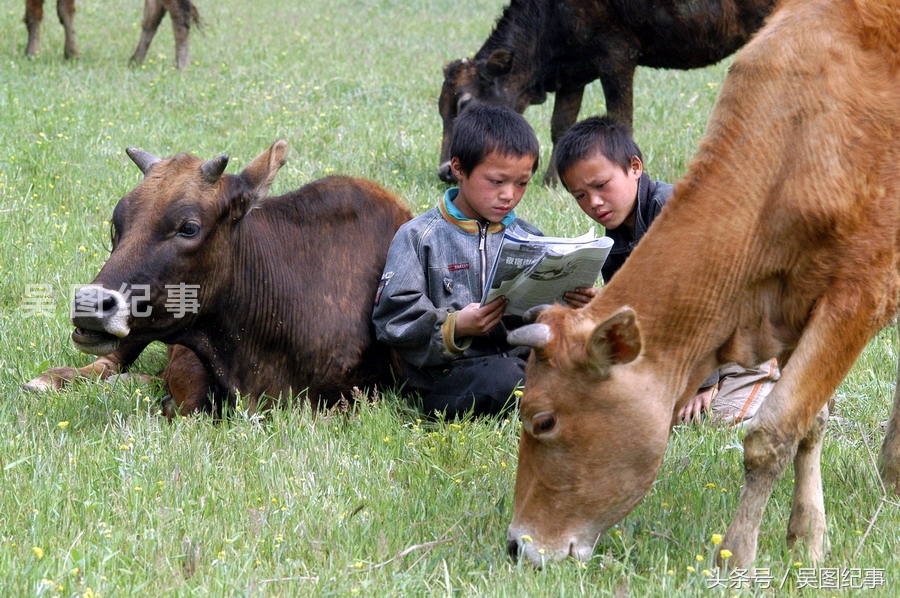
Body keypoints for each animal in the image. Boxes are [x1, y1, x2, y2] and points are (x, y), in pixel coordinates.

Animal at [23, 0, 200, 69]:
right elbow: (64, 11)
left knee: (178, 13)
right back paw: (135, 60)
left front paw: (32, 52)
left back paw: (181, 65)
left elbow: (36, 13)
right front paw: (72, 54)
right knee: (154, 14)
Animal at [436, 0, 772, 185]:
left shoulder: (616, 57)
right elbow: (561, 125)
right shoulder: (572, 73)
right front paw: (552, 181)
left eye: (465, 102)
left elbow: (621, 119)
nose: (445, 172)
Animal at [502, 0, 900, 572]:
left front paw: (737, 555)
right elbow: (812, 420)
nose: (517, 545)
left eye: (544, 420)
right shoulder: (795, 301)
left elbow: (773, 431)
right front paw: (808, 537)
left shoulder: (859, 294)